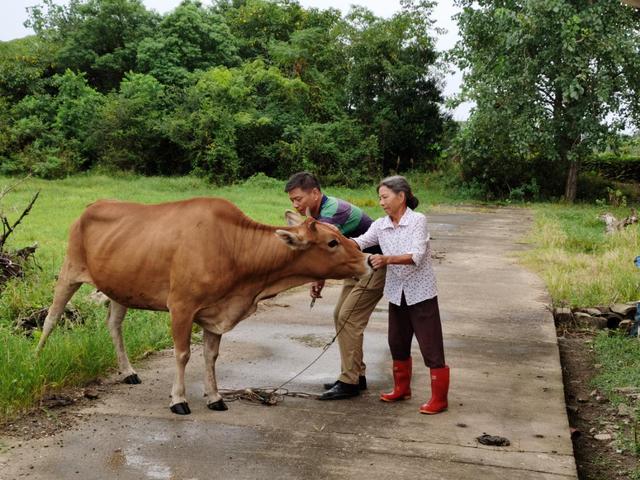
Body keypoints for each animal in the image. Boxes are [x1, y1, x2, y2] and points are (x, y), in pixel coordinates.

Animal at [36, 197, 370, 414]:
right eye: (332, 242)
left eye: (339, 234)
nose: (367, 260)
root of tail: (93, 205)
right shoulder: (181, 306)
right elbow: (182, 354)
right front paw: (179, 399)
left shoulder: (216, 313)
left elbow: (210, 356)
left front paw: (214, 396)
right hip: (69, 269)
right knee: (52, 317)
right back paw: (38, 355)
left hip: (121, 287)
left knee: (114, 324)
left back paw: (128, 371)